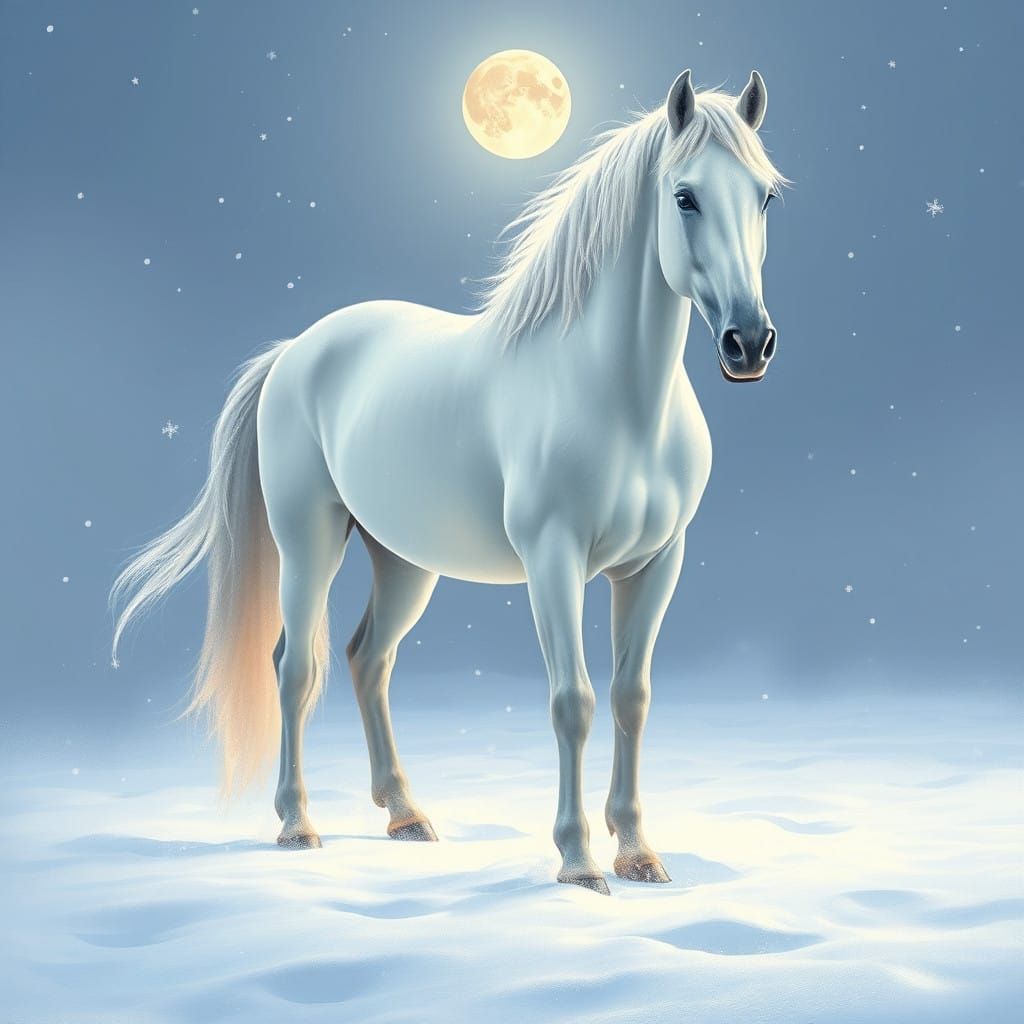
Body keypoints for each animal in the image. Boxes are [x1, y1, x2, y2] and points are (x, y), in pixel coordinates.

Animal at [111, 68, 787, 894]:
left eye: (765, 196)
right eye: (685, 196)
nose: (749, 343)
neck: (619, 399)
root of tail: (294, 350)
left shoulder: (656, 564)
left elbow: (632, 698)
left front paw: (637, 852)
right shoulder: (553, 561)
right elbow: (573, 701)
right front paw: (577, 862)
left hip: (405, 562)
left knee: (367, 659)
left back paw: (405, 814)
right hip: (309, 543)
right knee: (295, 667)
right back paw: (298, 825)